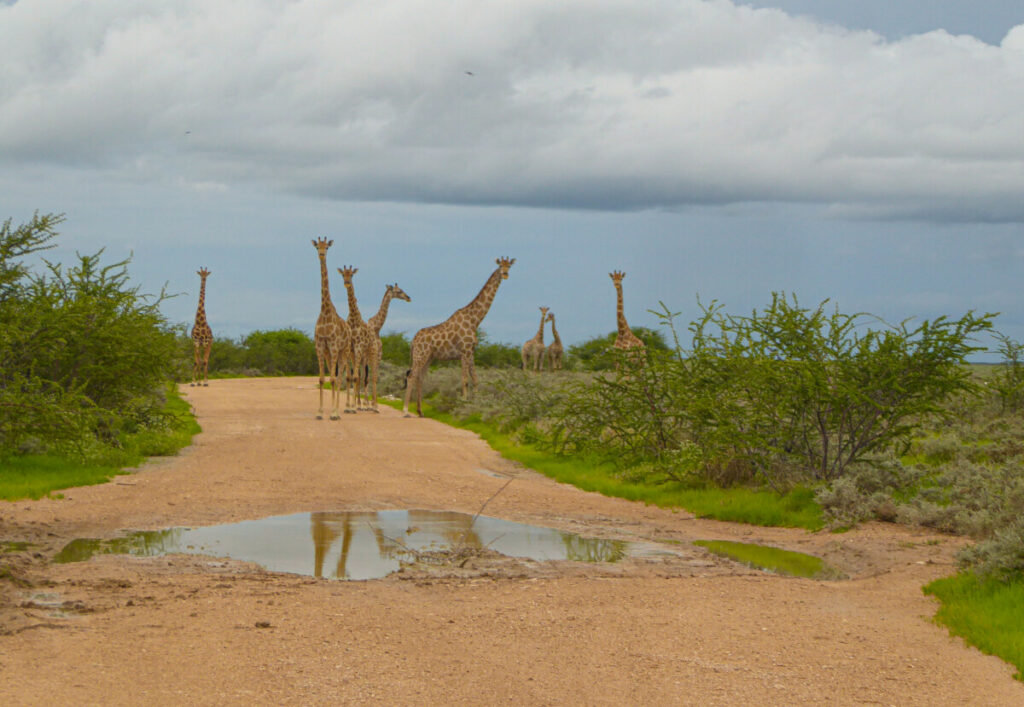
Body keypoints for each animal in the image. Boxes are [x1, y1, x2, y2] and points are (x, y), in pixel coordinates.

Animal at [337, 266, 378, 409]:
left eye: (352, 275)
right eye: (343, 274)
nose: (347, 283)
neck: (354, 319)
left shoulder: (359, 347)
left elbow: (356, 377)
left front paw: (356, 406)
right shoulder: (350, 349)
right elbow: (350, 377)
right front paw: (349, 404)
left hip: (371, 352)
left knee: (372, 376)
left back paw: (372, 405)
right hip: (360, 354)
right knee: (361, 376)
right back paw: (361, 403)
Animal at [403, 256, 516, 416]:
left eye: (509, 266)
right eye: (500, 266)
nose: (505, 274)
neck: (475, 320)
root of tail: (413, 341)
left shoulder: (471, 352)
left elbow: (475, 379)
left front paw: (477, 405)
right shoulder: (464, 351)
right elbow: (464, 379)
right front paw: (463, 404)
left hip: (428, 357)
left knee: (420, 377)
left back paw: (420, 411)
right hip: (420, 355)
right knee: (411, 376)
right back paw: (406, 410)